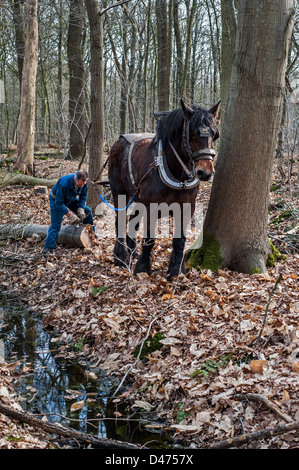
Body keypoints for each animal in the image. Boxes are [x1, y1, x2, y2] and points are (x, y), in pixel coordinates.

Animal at [108, 98, 220, 280]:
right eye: (192, 134)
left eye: (214, 134)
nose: (205, 172)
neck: (176, 173)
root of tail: (119, 142)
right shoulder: (151, 207)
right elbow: (149, 238)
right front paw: (143, 268)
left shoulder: (187, 206)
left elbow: (179, 240)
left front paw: (176, 270)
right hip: (119, 192)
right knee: (121, 220)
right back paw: (121, 257)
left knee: (132, 221)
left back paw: (132, 251)